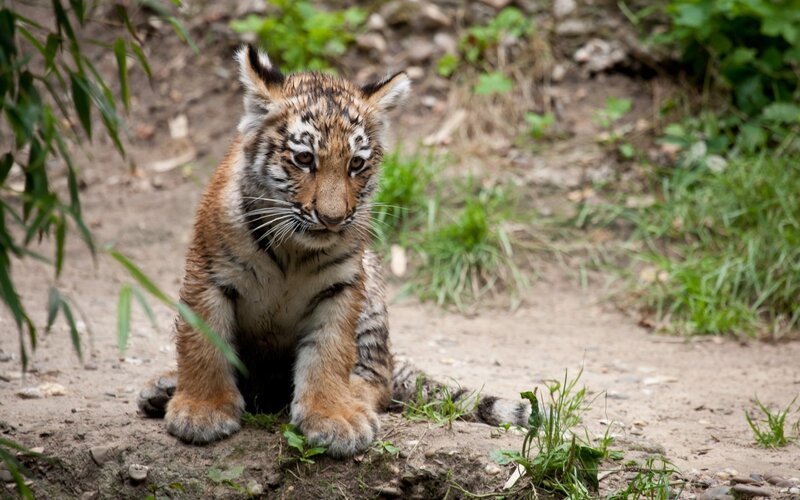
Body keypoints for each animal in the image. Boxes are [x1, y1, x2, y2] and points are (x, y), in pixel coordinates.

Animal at [136, 45, 530, 457]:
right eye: (304, 159)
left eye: (356, 164)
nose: (332, 217)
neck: (293, 248)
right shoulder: (208, 275)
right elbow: (203, 343)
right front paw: (202, 411)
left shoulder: (340, 287)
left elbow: (329, 352)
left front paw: (334, 416)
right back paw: (164, 387)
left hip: (373, 302)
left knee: (379, 381)